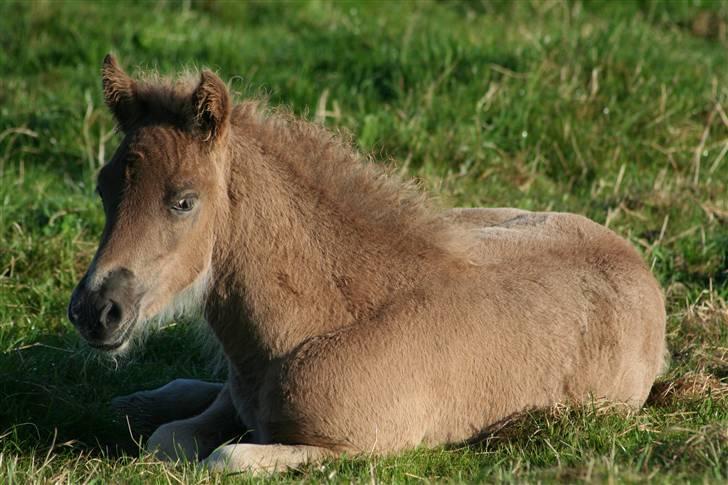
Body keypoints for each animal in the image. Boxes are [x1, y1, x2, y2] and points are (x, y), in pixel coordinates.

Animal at [68, 54, 664, 470]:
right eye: (102, 189)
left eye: (184, 201)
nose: (97, 311)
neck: (320, 324)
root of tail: (636, 261)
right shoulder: (237, 402)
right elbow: (170, 436)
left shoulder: (360, 447)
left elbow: (220, 457)